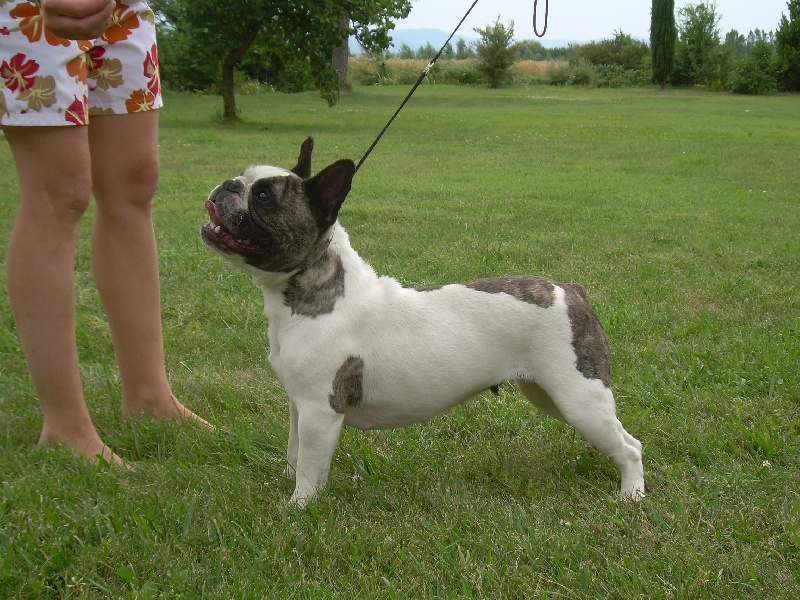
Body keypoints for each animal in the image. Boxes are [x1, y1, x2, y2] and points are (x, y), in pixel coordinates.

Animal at [201, 137, 645, 506]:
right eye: (244, 177)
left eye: (262, 196)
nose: (228, 184)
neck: (316, 288)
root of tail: (570, 291)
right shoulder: (299, 406)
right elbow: (295, 455)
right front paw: (284, 486)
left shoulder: (319, 410)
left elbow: (310, 469)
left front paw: (297, 509)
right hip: (551, 394)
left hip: (578, 396)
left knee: (629, 447)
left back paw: (631, 496)